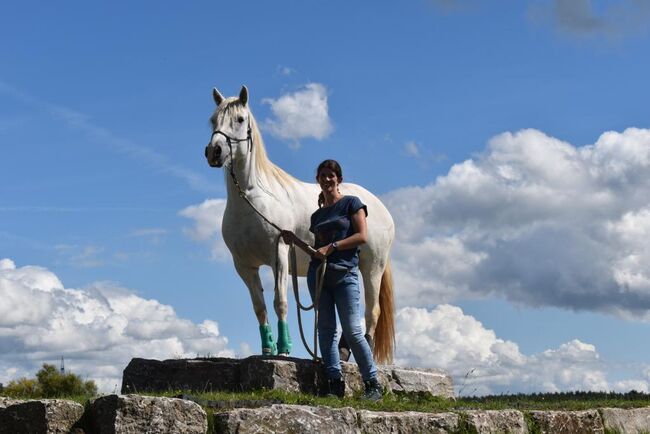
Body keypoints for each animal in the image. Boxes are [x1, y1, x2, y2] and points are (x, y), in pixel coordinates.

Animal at [202, 85, 394, 362]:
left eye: (239, 119)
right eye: (213, 120)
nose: (214, 152)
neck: (253, 198)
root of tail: (380, 206)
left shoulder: (280, 254)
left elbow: (280, 302)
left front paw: (284, 349)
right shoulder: (244, 266)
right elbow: (259, 307)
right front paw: (267, 348)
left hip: (372, 267)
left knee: (372, 311)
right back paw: (343, 351)